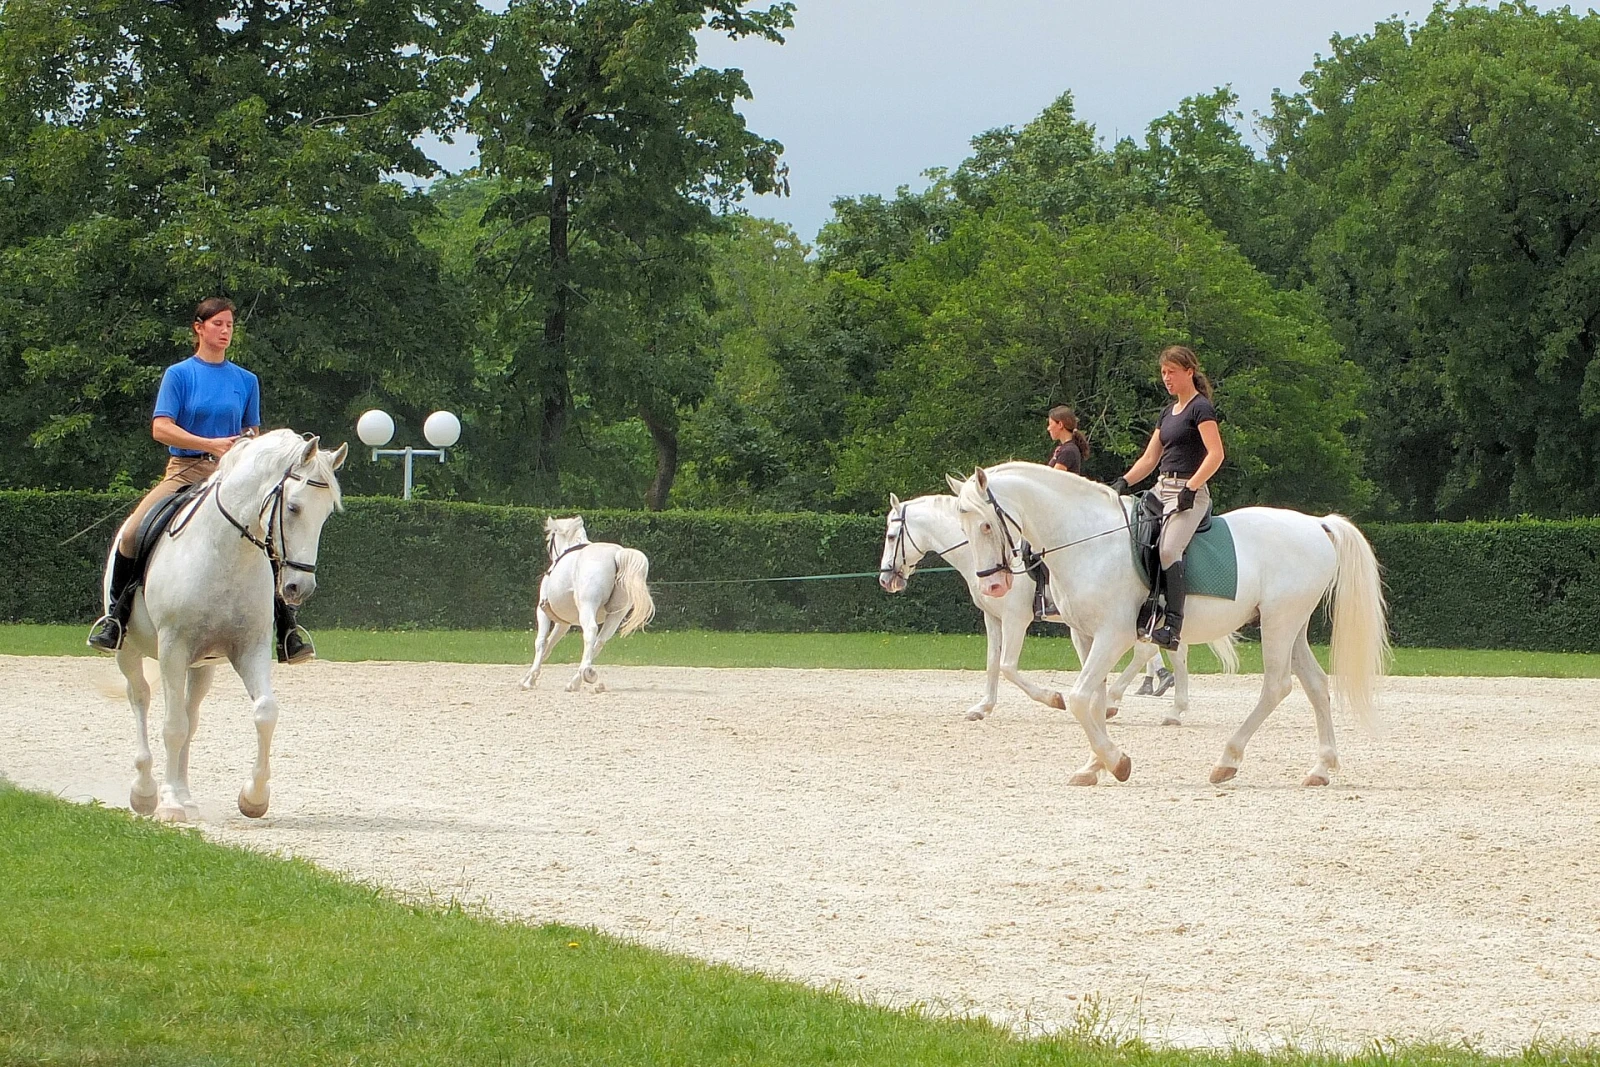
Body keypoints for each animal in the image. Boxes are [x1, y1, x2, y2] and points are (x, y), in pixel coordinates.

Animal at [108, 429, 346, 822]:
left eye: (326, 513)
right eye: (293, 507)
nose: (300, 588)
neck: (226, 554)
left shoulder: (249, 649)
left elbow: (265, 713)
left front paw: (253, 797)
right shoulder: (172, 649)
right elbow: (172, 726)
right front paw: (169, 804)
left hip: (201, 666)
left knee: (191, 715)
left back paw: (186, 796)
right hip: (128, 650)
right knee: (140, 698)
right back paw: (146, 792)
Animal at [519, 516, 656, 693]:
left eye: (550, 539)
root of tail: (616, 554)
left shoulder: (542, 611)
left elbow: (541, 642)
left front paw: (528, 680)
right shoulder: (564, 623)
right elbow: (549, 645)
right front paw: (530, 678)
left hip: (587, 606)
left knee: (590, 632)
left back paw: (584, 674)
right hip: (616, 615)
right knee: (600, 641)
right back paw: (576, 681)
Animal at [878, 493, 1238, 722]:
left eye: (893, 535)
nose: (885, 579)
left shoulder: (1015, 619)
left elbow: (1008, 667)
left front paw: (1054, 698)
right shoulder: (993, 618)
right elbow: (992, 664)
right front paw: (983, 707)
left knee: (1146, 652)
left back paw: (1120, 701)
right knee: (1172, 652)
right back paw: (1171, 707)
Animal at [950, 462, 1389, 786]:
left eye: (986, 524)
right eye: (963, 527)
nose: (992, 584)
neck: (1088, 540)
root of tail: (1316, 525)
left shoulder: (1112, 634)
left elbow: (1077, 698)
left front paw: (1116, 762)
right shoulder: (1085, 635)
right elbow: (1092, 700)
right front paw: (1093, 766)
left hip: (1279, 623)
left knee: (1277, 686)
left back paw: (1227, 760)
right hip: (1291, 625)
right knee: (1314, 683)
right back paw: (1321, 768)